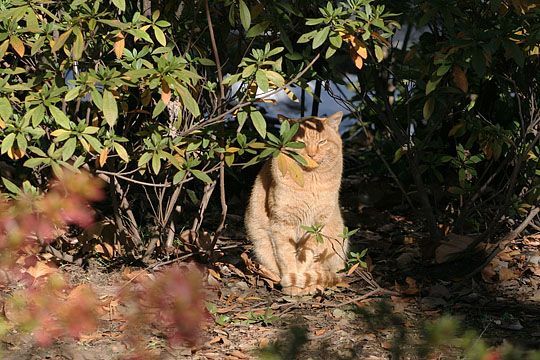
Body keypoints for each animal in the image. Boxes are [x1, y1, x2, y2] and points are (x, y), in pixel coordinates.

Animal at [246, 112, 348, 296]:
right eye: (302, 143)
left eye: (322, 142)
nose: (312, 154)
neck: (311, 181)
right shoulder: (283, 223)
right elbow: (286, 256)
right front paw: (292, 283)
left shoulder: (317, 226)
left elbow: (307, 256)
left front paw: (300, 281)